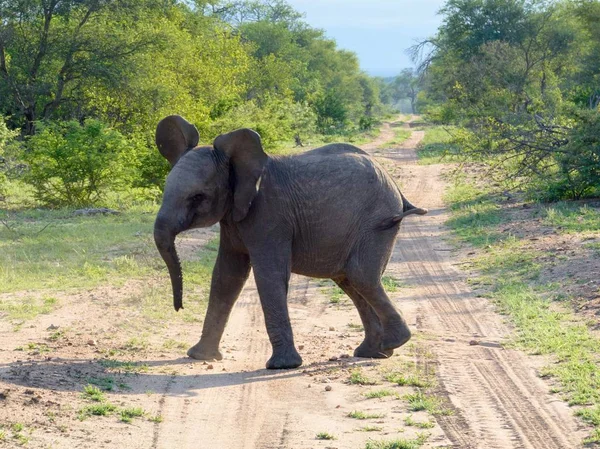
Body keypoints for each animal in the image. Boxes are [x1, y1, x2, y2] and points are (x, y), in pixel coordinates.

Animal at [155, 114, 426, 368]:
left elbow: (269, 275)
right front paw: (199, 356)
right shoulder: (233, 218)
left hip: (374, 223)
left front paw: (282, 366)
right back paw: (374, 352)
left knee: (361, 276)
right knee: (350, 280)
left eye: (197, 197)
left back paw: (393, 343)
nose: (179, 307)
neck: (236, 166)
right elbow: (226, 276)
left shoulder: (269, 215)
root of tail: (396, 186)